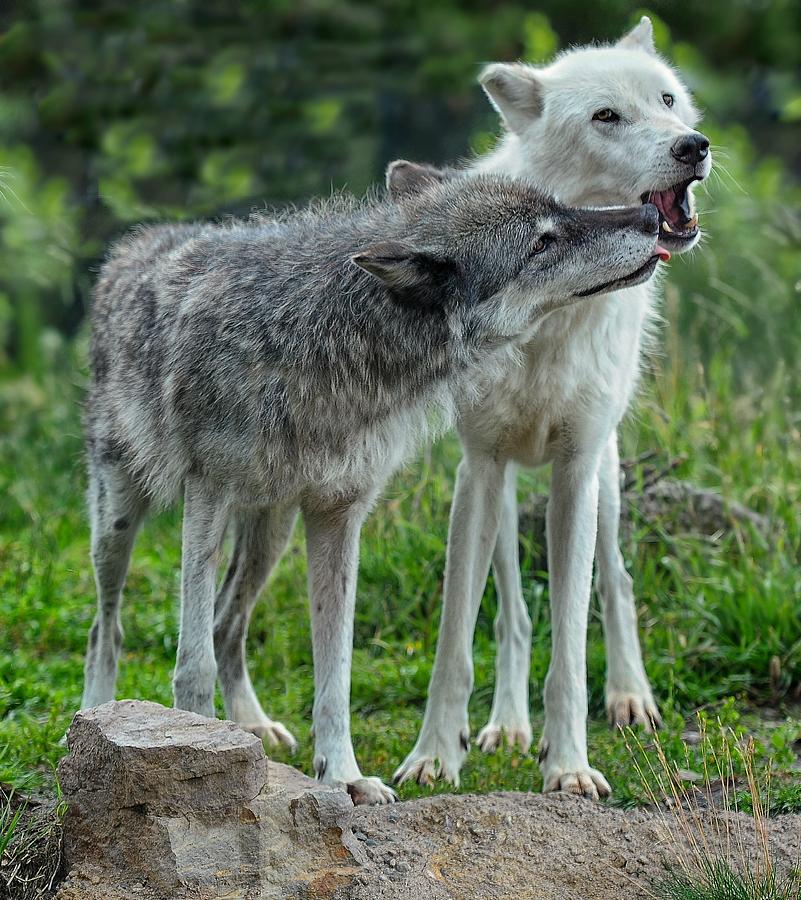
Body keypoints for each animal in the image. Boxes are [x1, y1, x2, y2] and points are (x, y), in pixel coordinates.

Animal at [79, 167, 664, 800]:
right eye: (542, 241)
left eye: (560, 208)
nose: (651, 217)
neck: (320, 331)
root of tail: (131, 246)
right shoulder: (207, 495)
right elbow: (192, 663)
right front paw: (197, 747)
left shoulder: (339, 515)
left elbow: (335, 673)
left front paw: (343, 777)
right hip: (118, 521)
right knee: (107, 629)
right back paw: (99, 717)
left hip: (270, 537)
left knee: (226, 624)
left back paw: (251, 727)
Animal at [394, 17, 712, 800]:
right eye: (606, 116)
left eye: (666, 100)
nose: (692, 146)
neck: (549, 314)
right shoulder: (478, 468)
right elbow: (456, 638)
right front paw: (434, 756)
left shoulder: (574, 468)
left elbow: (571, 641)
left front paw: (568, 766)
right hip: (505, 485)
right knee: (511, 611)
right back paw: (505, 726)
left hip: (606, 478)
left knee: (616, 582)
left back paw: (630, 698)